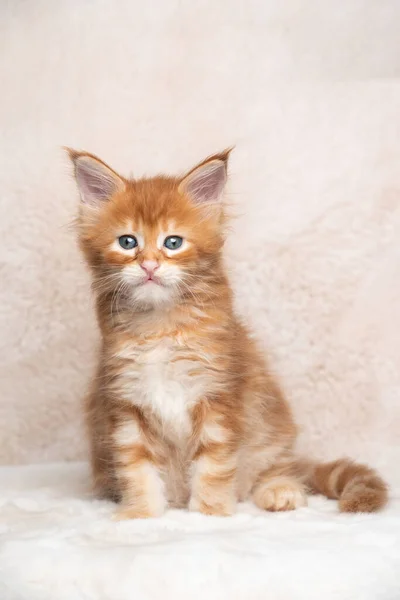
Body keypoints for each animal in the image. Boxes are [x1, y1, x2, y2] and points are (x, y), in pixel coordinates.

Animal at [68, 148, 388, 516]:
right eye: (127, 242)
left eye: (173, 242)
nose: (149, 265)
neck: (160, 325)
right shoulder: (124, 399)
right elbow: (136, 466)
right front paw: (141, 513)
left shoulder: (219, 393)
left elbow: (214, 463)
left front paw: (209, 512)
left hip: (270, 424)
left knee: (279, 466)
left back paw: (280, 490)